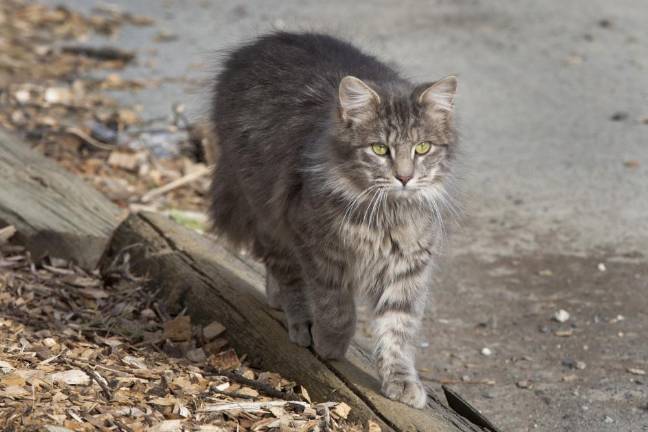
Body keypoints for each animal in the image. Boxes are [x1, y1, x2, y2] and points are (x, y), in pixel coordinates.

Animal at [210, 31, 458, 408]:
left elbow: (398, 329)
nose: (404, 177)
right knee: (287, 273)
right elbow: (336, 307)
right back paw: (299, 322)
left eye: (423, 148)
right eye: (380, 149)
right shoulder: (318, 249)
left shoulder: (408, 264)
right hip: (268, 213)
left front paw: (401, 383)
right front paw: (332, 344)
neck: (384, 213)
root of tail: (261, 43)